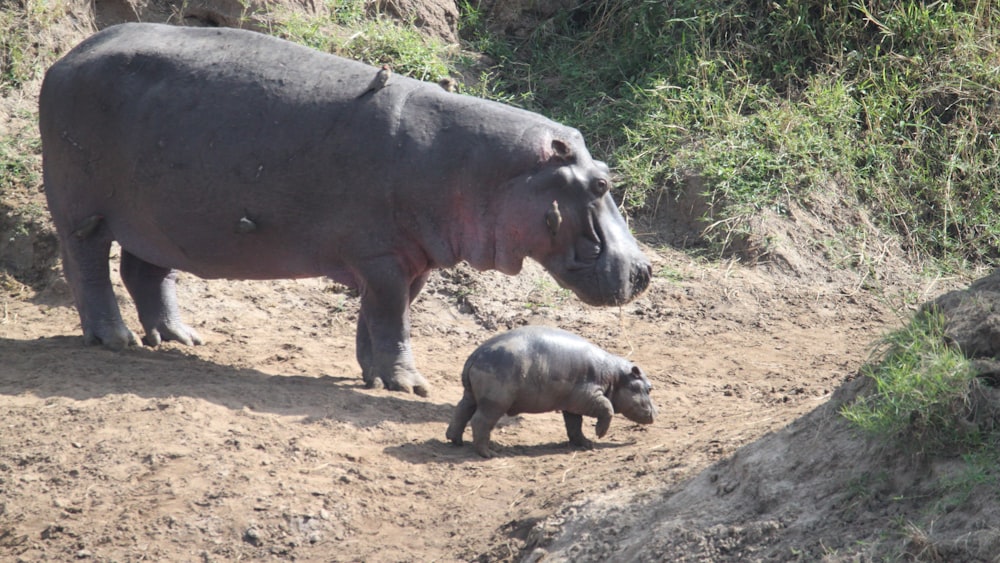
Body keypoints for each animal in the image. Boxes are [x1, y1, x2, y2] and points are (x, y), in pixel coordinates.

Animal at [39, 23, 652, 396]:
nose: (647, 269)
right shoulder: (380, 256)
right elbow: (391, 318)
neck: (482, 168)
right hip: (82, 209)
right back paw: (114, 339)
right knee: (88, 267)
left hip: (158, 219)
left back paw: (180, 339)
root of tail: (66, 57)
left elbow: (381, 317)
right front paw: (411, 386)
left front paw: (373, 377)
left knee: (144, 271)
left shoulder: (407, 259)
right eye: (600, 183)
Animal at [446, 326, 656, 458]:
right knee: (480, 421)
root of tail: (475, 356)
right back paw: (489, 454)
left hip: (471, 394)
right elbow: (607, 407)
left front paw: (587, 443)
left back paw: (455, 441)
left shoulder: (572, 405)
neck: (615, 376)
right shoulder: (589, 396)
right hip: (494, 402)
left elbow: (574, 426)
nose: (657, 412)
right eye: (649, 388)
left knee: (461, 411)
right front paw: (599, 435)